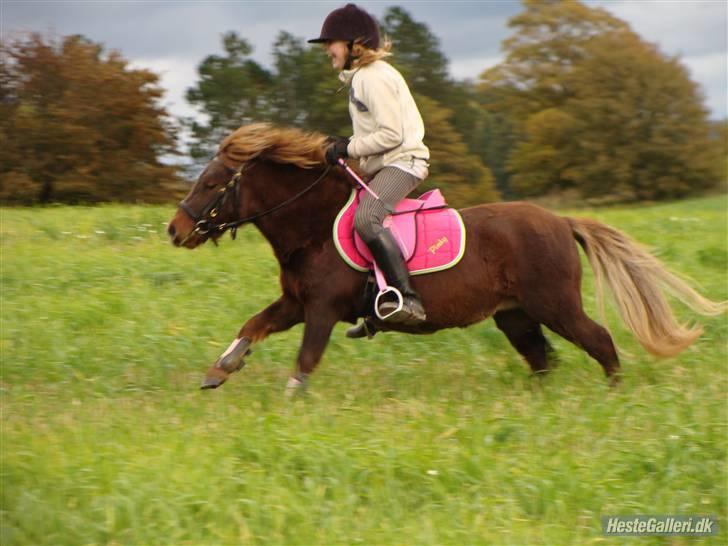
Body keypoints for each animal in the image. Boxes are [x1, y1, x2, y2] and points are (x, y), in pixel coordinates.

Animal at [169, 122, 724, 392]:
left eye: (213, 183)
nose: (174, 230)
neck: (313, 228)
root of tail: (560, 221)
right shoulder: (296, 304)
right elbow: (252, 325)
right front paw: (220, 370)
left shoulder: (321, 310)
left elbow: (305, 360)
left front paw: (289, 402)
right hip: (515, 315)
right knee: (542, 359)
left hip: (554, 305)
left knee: (600, 341)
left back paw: (614, 397)